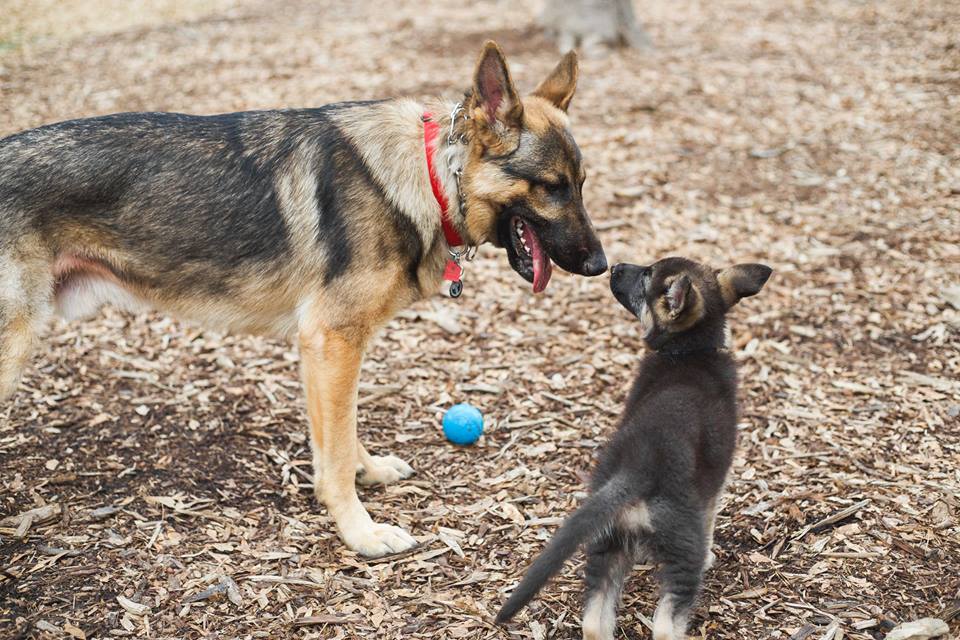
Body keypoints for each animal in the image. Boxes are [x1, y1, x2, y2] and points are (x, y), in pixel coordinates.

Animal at [0, 42, 607, 557]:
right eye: (551, 186)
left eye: (581, 183)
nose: (601, 266)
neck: (430, 174)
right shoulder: (331, 343)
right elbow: (334, 454)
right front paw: (361, 532)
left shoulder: (332, 352)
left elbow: (343, 432)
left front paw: (370, 471)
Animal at [496, 257, 771, 639]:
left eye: (646, 276)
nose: (613, 266)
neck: (689, 351)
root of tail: (637, 470)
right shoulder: (714, 485)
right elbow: (711, 519)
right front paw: (711, 554)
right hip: (680, 555)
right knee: (665, 626)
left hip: (605, 544)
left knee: (594, 621)